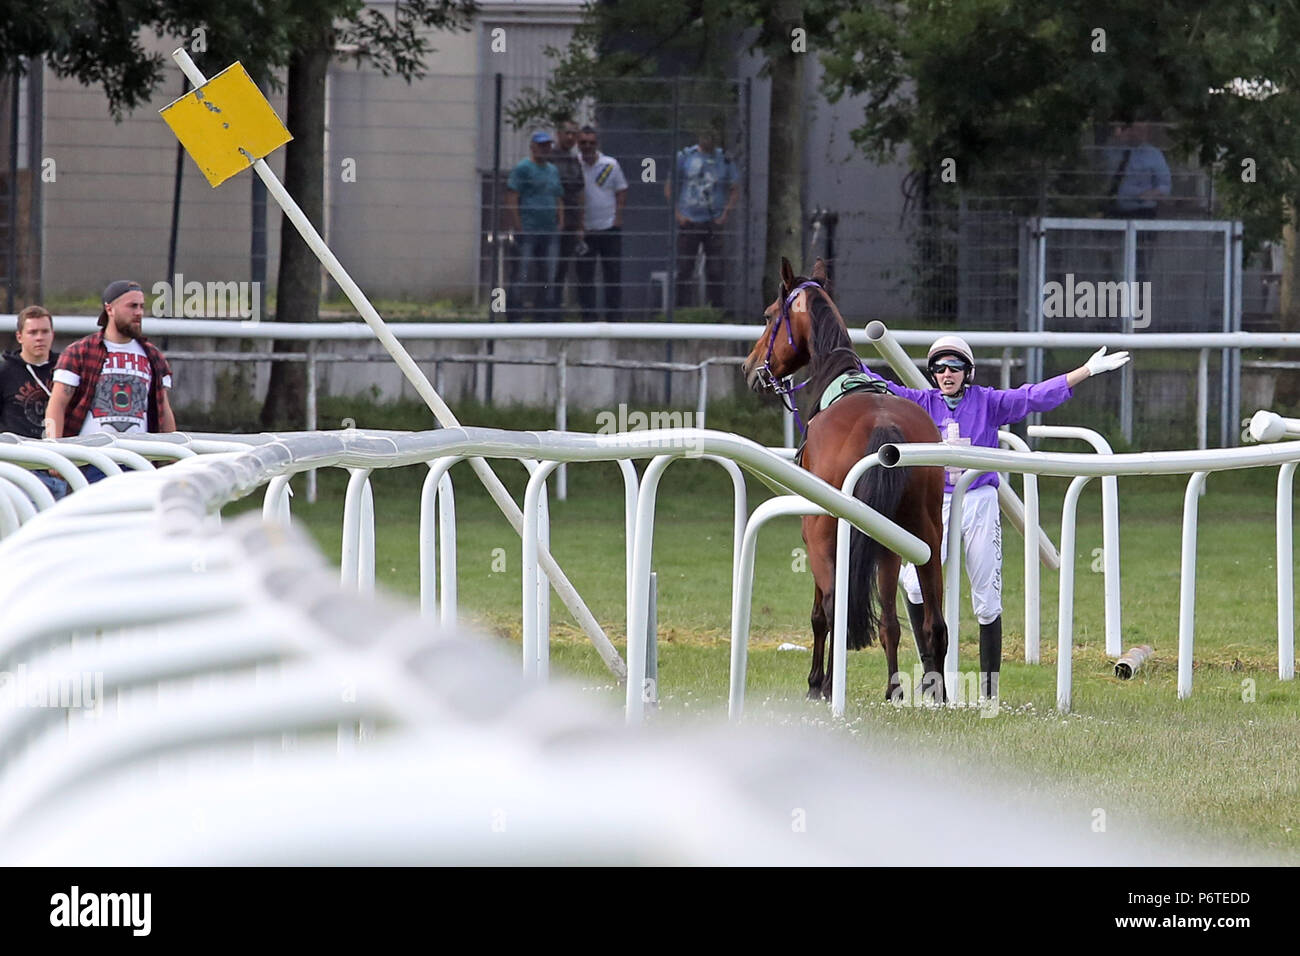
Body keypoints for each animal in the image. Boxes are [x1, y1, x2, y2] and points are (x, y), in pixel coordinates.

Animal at [743, 260, 946, 702]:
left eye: (768, 315)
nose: (749, 367)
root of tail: (885, 425)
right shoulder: (887, 544)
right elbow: (890, 621)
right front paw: (893, 688)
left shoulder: (817, 531)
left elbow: (822, 612)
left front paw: (816, 681)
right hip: (925, 536)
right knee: (933, 623)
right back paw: (934, 693)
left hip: (822, 533)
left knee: (835, 604)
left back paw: (828, 685)